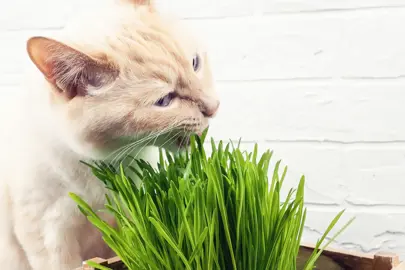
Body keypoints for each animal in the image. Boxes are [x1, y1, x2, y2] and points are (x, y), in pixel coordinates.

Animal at [0, 0, 218, 270]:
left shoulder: (129, 212)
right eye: (164, 101)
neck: (107, 165)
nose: (214, 107)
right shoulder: (48, 233)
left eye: (195, 63)